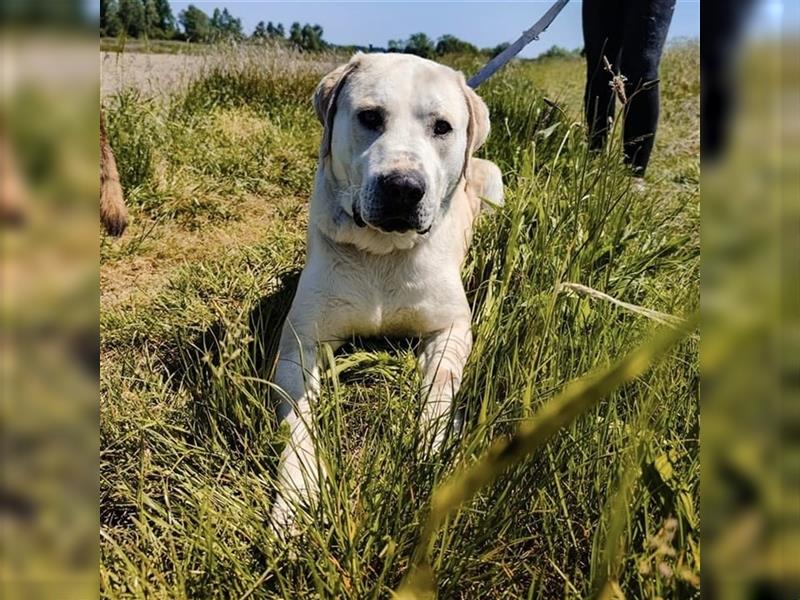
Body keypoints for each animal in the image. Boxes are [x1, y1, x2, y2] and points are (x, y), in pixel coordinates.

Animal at [272, 52, 504, 528]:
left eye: (442, 127)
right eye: (370, 117)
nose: (402, 188)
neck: (382, 252)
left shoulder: (450, 329)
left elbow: (438, 391)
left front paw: (431, 456)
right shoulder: (300, 345)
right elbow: (299, 421)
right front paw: (295, 499)